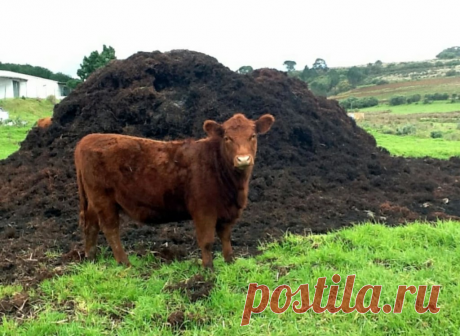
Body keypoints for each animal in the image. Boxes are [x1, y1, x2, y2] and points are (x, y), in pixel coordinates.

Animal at [74, 114, 274, 270]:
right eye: (227, 138)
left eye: (253, 136)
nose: (243, 159)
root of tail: (87, 139)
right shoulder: (204, 210)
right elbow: (207, 240)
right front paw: (208, 269)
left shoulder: (227, 211)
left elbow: (226, 237)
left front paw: (230, 262)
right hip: (103, 198)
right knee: (110, 228)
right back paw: (125, 263)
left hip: (93, 200)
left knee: (91, 225)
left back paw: (91, 258)